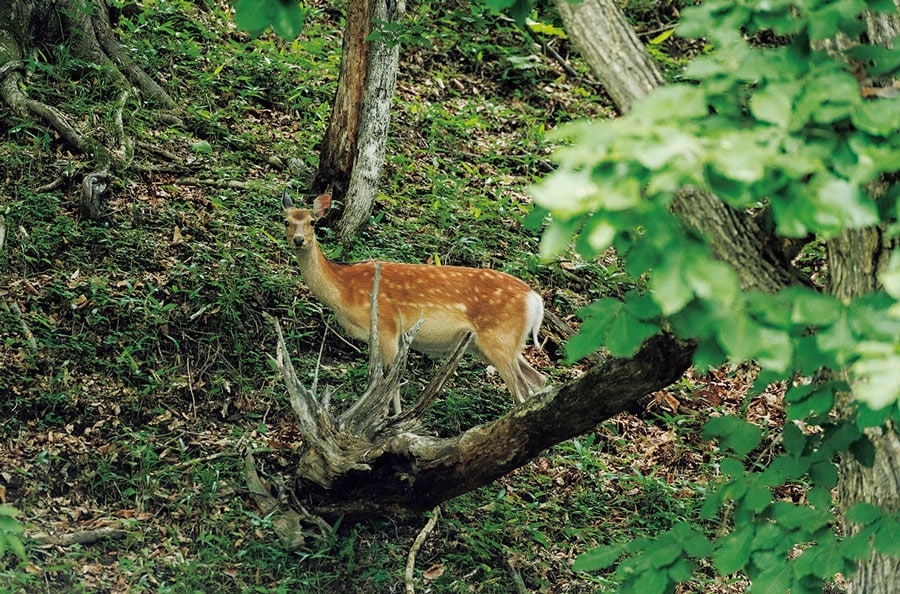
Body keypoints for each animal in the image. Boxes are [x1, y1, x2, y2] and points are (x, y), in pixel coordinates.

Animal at [284, 190, 544, 412]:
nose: (298, 240)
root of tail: (535, 298)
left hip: (499, 338)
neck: (343, 290)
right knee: (538, 380)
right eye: (286, 221)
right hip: (498, 344)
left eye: (313, 222)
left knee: (522, 392)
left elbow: (391, 383)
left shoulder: (388, 326)